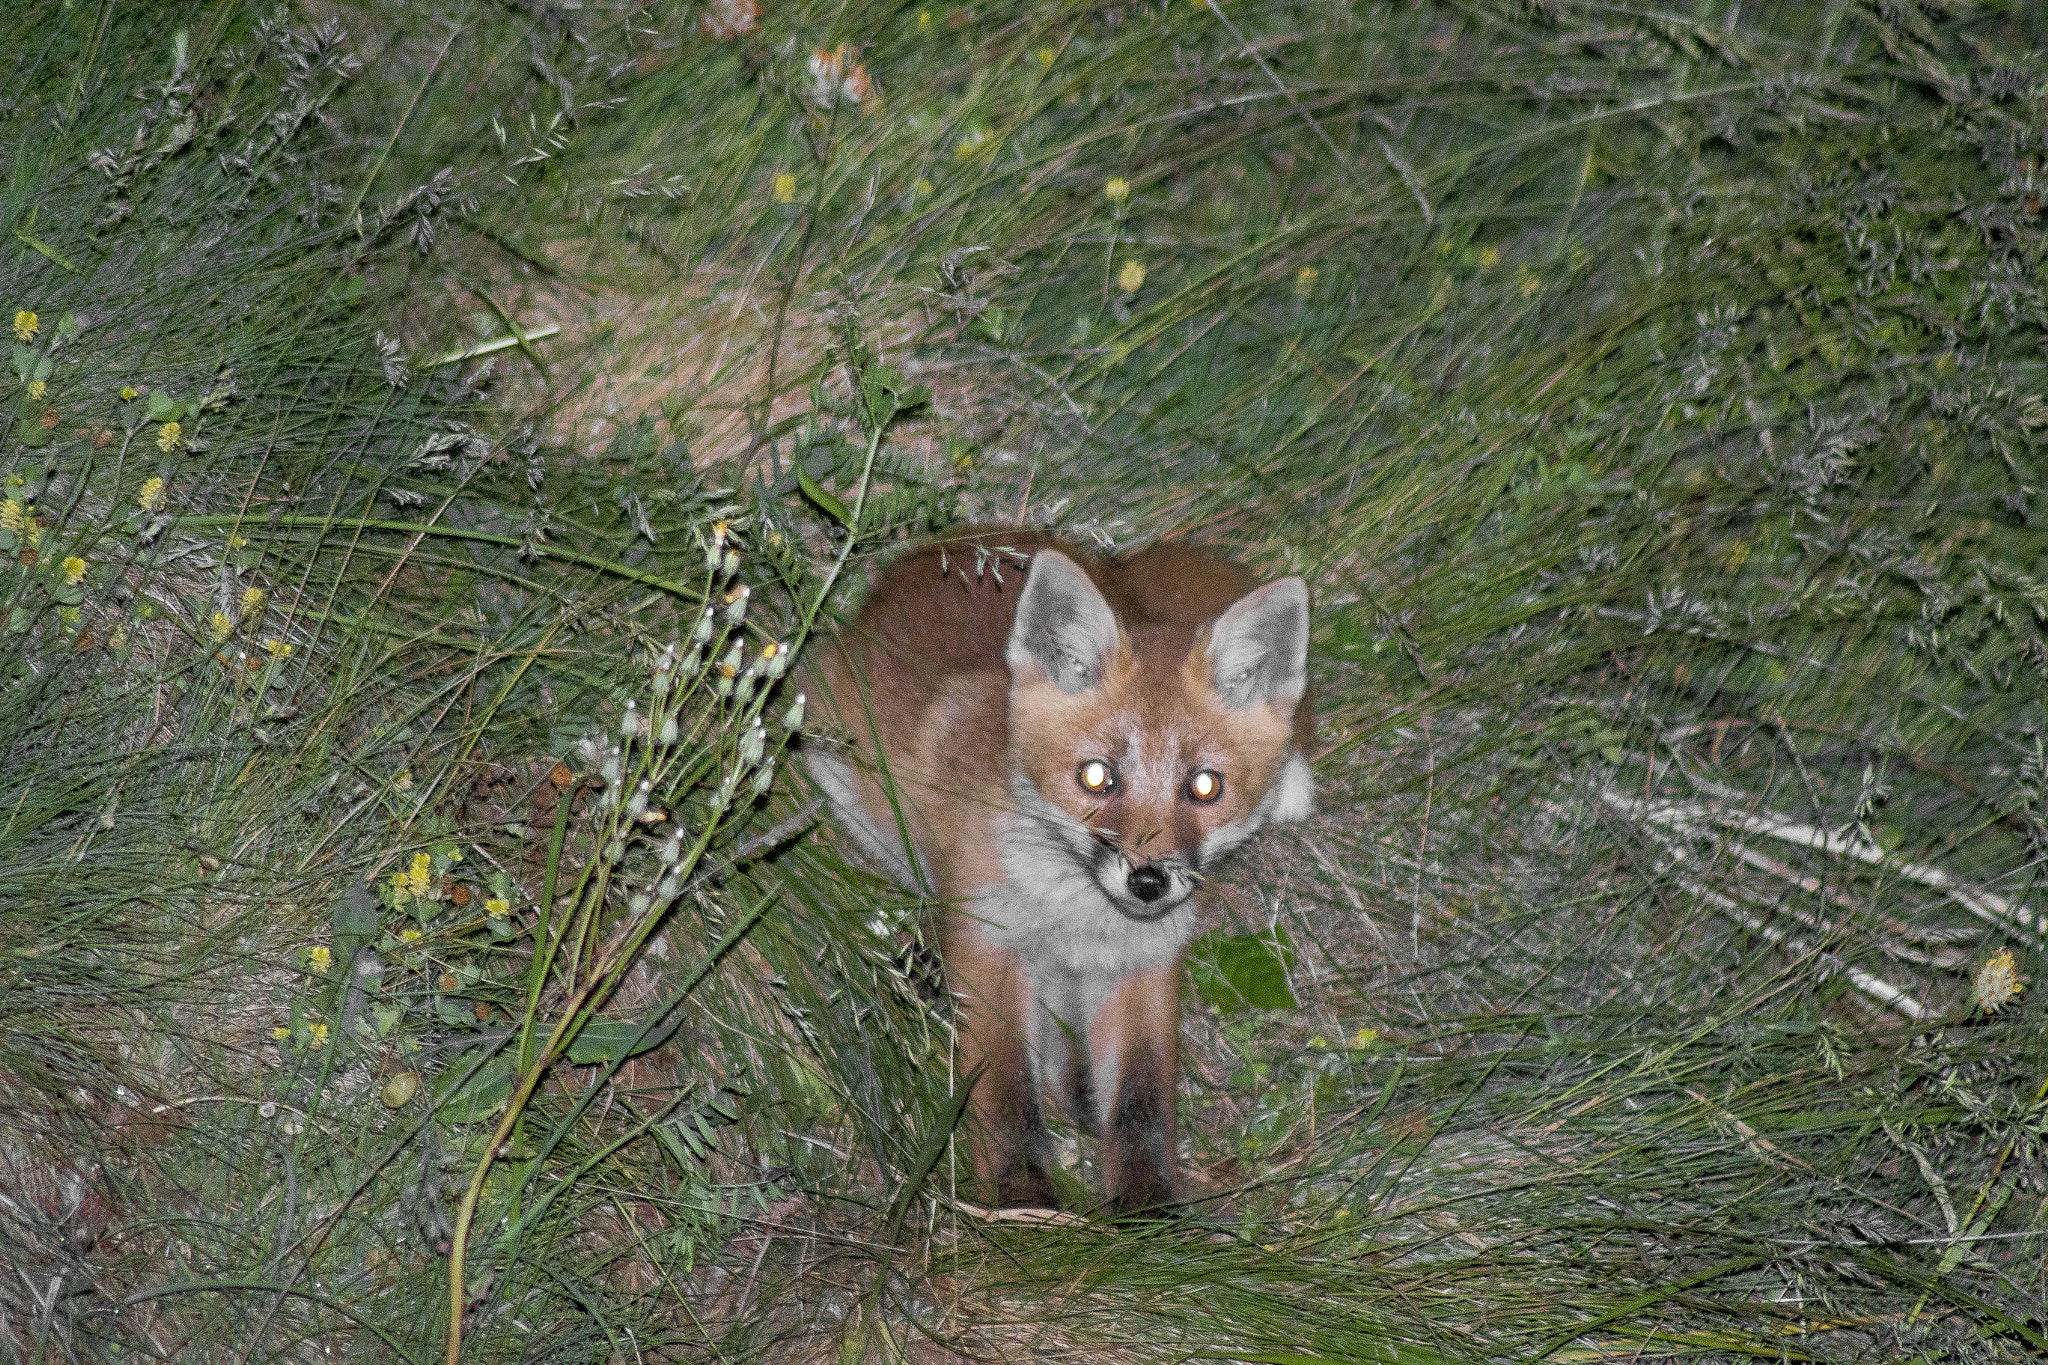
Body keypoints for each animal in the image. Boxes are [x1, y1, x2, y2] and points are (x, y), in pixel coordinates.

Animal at [802, 527, 1310, 1211]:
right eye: (1096, 777)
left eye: (1205, 787)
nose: (1147, 881)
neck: (1078, 923)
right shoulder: (988, 945)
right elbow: (1007, 1098)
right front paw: (1025, 1206)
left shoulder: (1147, 964)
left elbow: (1141, 1105)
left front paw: (1147, 1216)